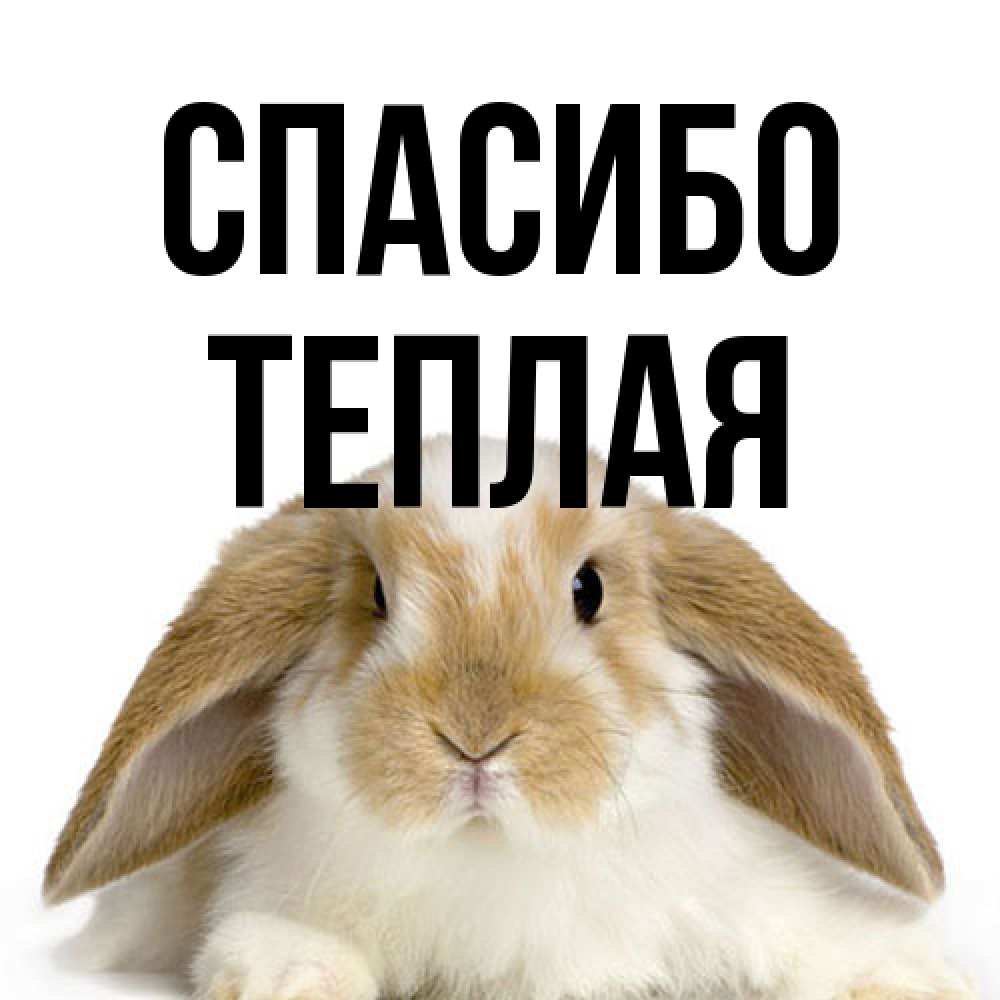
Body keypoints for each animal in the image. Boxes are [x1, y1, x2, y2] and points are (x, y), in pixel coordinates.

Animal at [45, 437, 975, 1000]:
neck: (494, 857)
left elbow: (817, 939)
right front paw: (290, 977)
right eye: (376, 596)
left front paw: (909, 978)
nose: (475, 737)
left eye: (589, 589)